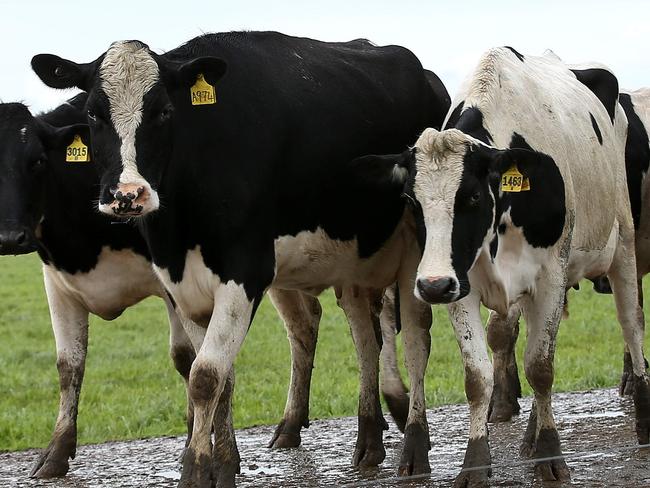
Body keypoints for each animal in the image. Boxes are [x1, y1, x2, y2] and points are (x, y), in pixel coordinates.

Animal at [29, 32, 446, 486]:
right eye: (93, 113)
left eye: (163, 111)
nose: (127, 195)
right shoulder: (182, 285)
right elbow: (219, 376)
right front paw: (224, 463)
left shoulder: (245, 272)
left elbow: (205, 376)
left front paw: (196, 470)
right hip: (352, 263)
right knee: (365, 339)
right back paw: (368, 440)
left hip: (419, 255)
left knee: (417, 341)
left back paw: (415, 446)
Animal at [354, 46, 648, 488]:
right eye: (410, 201)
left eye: (473, 197)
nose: (432, 287)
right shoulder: (461, 287)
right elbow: (478, 378)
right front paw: (476, 463)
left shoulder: (550, 277)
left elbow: (541, 367)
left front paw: (550, 455)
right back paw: (528, 436)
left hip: (624, 245)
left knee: (631, 324)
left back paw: (643, 420)